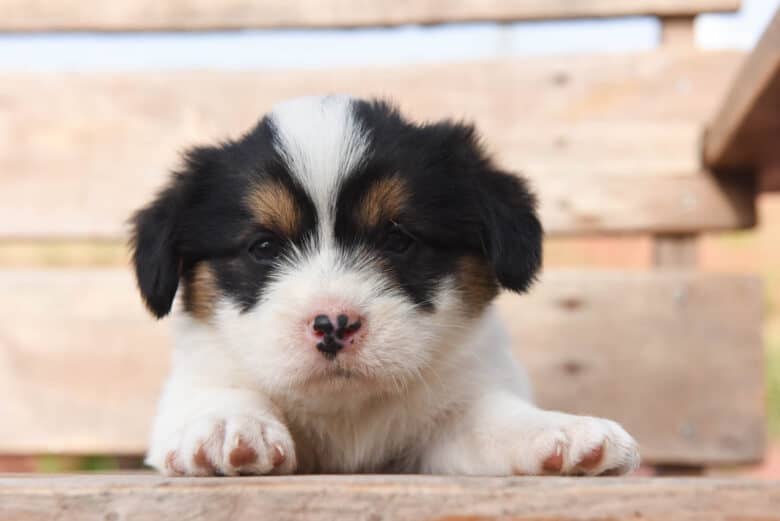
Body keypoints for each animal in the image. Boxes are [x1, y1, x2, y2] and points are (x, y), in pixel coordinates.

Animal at [129, 94, 640, 476]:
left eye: (398, 239)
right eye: (263, 246)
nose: (334, 325)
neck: (347, 413)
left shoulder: (455, 411)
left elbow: (497, 419)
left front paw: (561, 431)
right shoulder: (195, 380)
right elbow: (221, 392)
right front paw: (227, 424)